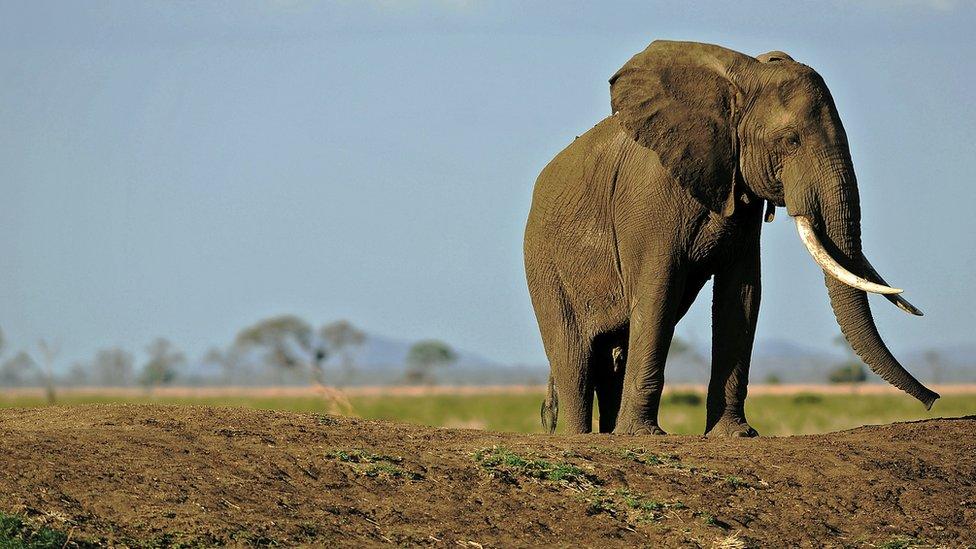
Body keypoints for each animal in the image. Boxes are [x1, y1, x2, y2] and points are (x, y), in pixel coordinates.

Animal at [528, 39, 936, 436]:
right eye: (790, 141)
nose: (933, 399)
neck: (741, 79)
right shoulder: (650, 196)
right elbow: (658, 292)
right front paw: (644, 436)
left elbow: (741, 293)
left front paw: (735, 434)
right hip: (543, 265)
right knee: (575, 356)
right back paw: (581, 436)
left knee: (612, 353)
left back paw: (608, 433)